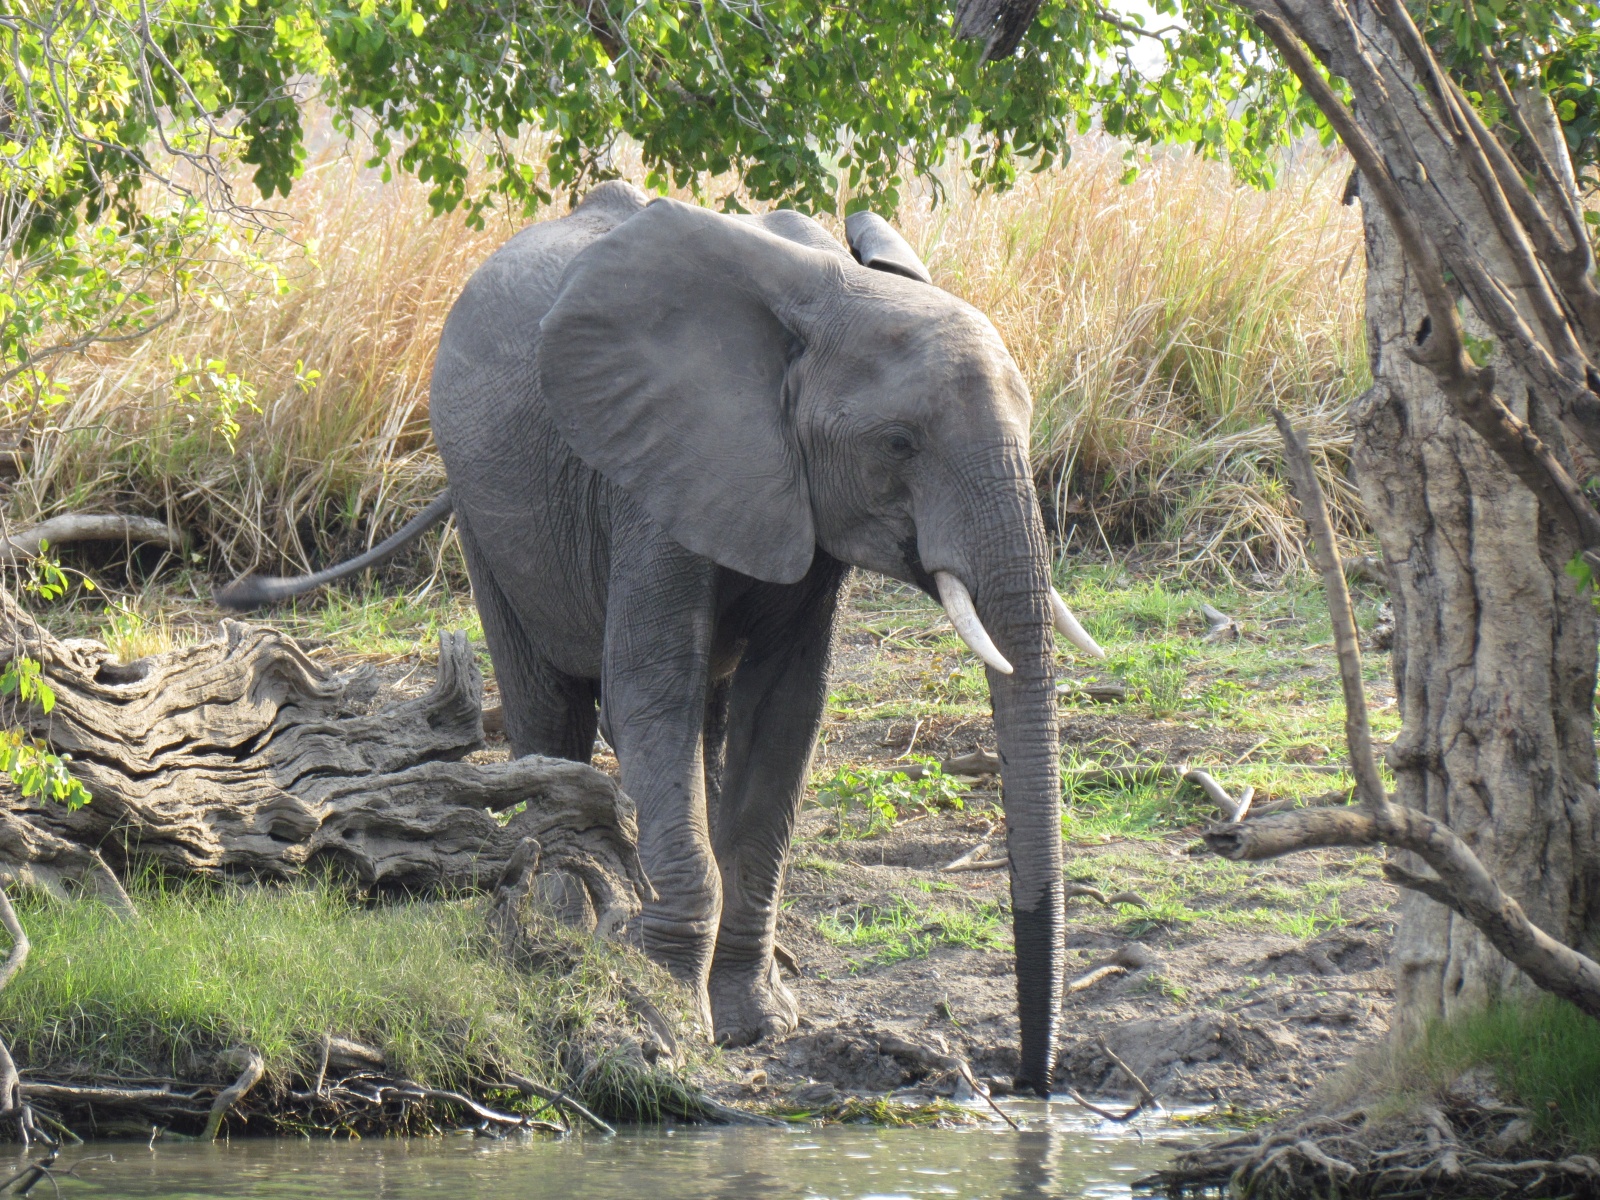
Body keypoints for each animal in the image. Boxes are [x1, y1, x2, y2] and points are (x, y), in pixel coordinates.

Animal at [218, 180, 1106, 1095]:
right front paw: (674, 1009)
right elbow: (651, 690)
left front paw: (753, 1020)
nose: (1031, 1081)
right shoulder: (651, 471)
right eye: (899, 443)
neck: (822, 298)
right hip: (481, 506)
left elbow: (784, 713)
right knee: (550, 709)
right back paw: (560, 924)